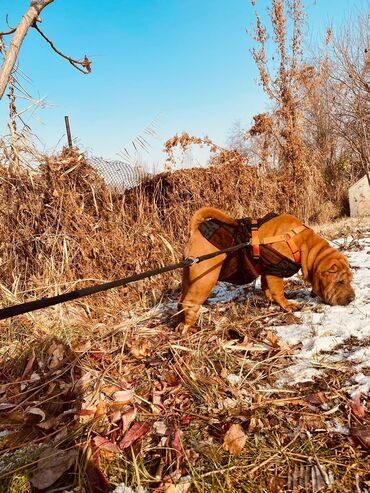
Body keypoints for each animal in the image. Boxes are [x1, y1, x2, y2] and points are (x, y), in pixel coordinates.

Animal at [179, 206, 356, 328]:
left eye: (350, 280)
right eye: (340, 282)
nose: (352, 299)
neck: (303, 243)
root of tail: (196, 232)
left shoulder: (267, 270)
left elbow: (267, 286)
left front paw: (270, 299)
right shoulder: (275, 270)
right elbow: (278, 291)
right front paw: (287, 305)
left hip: (190, 278)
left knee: (181, 302)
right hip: (204, 280)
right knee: (190, 303)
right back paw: (188, 327)